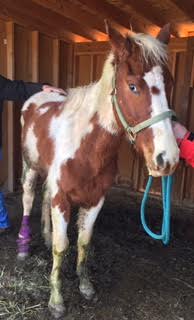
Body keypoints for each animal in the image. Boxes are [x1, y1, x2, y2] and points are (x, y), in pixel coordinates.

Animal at [17, 23, 180, 318]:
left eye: (169, 83)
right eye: (133, 86)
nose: (168, 159)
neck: (87, 146)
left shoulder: (95, 200)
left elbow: (83, 242)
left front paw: (85, 286)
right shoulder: (62, 199)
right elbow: (62, 247)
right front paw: (56, 300)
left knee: (44, 198)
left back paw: (45, 235)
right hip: (30, 167)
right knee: (28, 199)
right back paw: (24, 248)